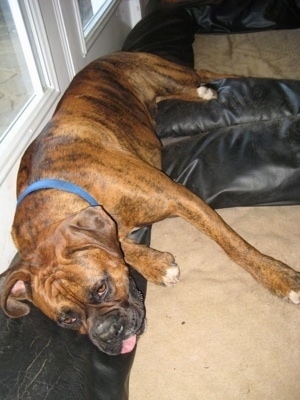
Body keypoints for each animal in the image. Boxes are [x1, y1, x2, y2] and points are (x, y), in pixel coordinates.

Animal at [0, 51, 300, 354]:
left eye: (101, 288)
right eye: (69, 319)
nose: (107, 333)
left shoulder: (178, 196)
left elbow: (234, 246)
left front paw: (280, 278)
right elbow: (122, 247)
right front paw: (156, 264)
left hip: (169, 73)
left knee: (204, 73)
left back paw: (210, 90)